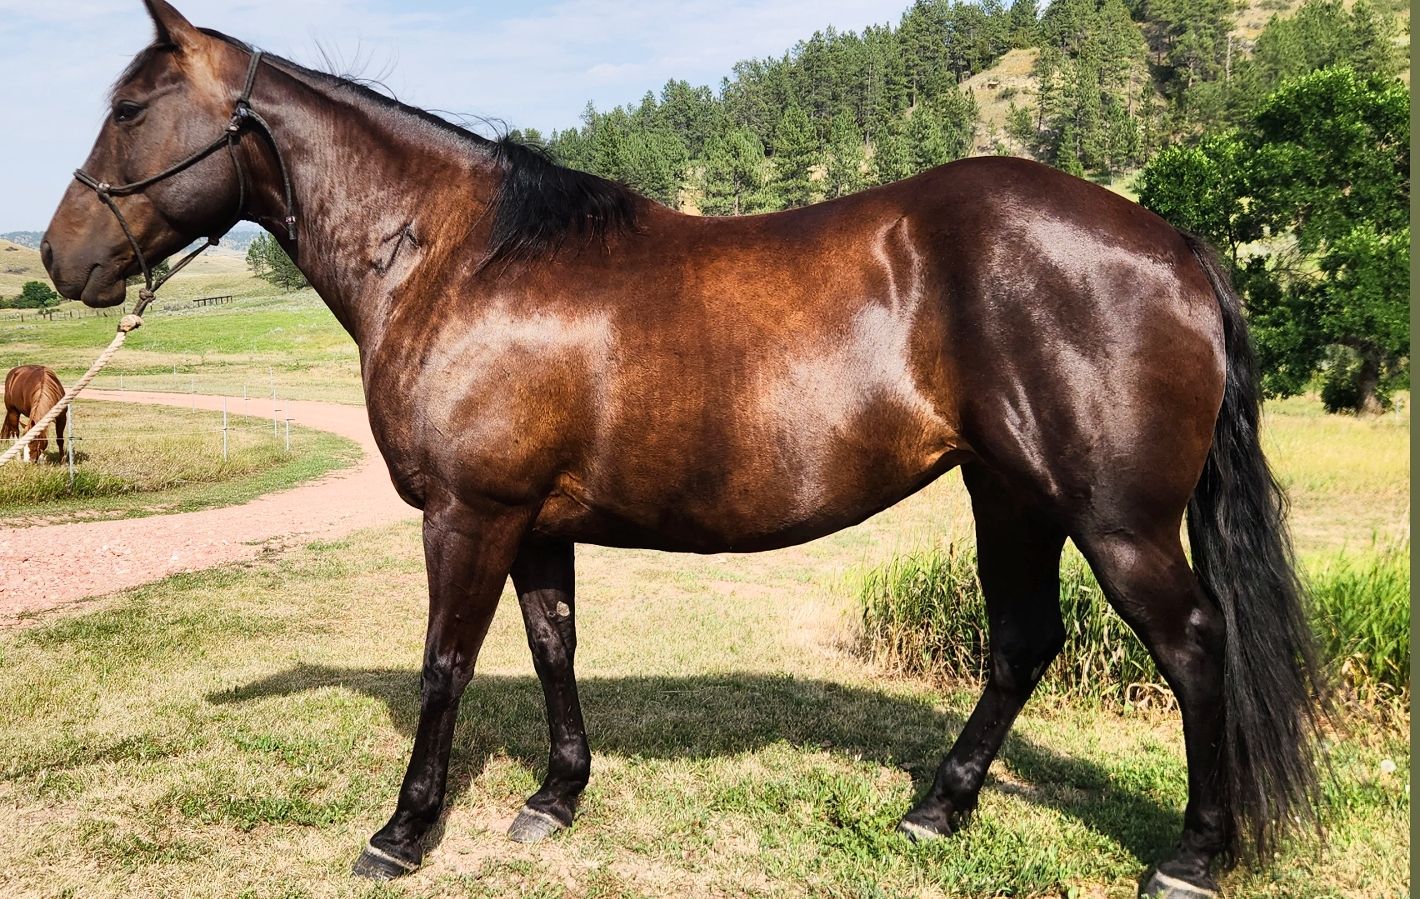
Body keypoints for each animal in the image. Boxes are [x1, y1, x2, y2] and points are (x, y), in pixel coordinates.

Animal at [40, 3, 1325, 896]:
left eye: (132, 109)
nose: (57, 257)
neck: (460, 257)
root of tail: (1168, 240)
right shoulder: (533, 522)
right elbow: (552, 646)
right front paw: (554, 797)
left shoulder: (469, 511)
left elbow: (444, 665)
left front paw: (403, 830)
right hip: (1009, 492)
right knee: (1020, 640)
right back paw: (937, 808)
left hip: (1112, 518)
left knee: (1192, 644)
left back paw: (1190, 854)